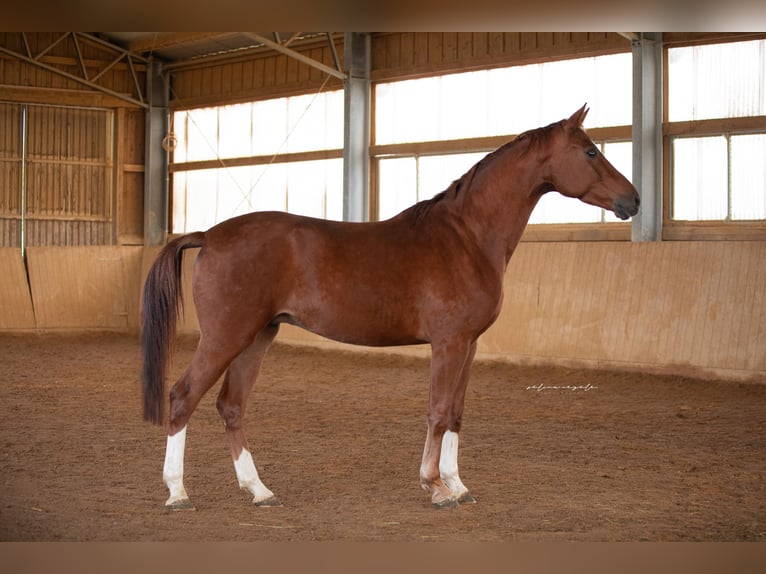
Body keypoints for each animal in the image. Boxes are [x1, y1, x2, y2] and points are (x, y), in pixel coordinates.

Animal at [142, 106, 640, 510]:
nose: (633, 200)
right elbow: (438, 410)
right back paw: (178, 492)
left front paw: (458, 484)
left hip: (257, 336)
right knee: (183, 397)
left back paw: (259, 491)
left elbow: (456, 412)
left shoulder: (469, 345)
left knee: (231, 405)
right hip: (226, 336)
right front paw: (435, 486)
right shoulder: (448, 344)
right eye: (591, 151)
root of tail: (210, 234)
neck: (467, 237)